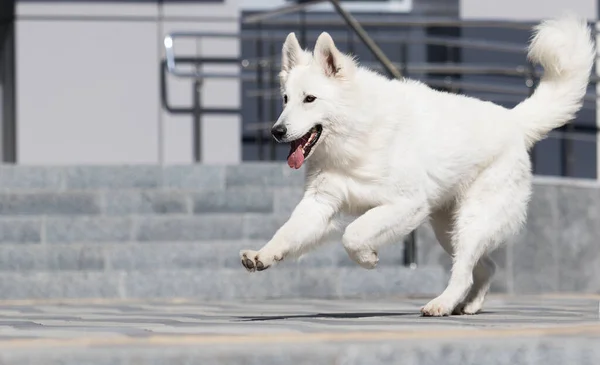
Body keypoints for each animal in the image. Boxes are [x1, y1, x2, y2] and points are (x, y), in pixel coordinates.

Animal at [239, 15, 596, 314]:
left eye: (310, 99)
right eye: (285, 99)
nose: (276, 131)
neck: (357, 134)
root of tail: (514, 121)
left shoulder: (406, 204)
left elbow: (353, 234)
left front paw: (367, 259)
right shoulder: (320, 203)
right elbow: (287, 232)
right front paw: (263, 255)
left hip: (471, 220)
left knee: (464, 272)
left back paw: (442, 304)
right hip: (447, 230)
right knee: (483, 267)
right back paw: (468, 305)